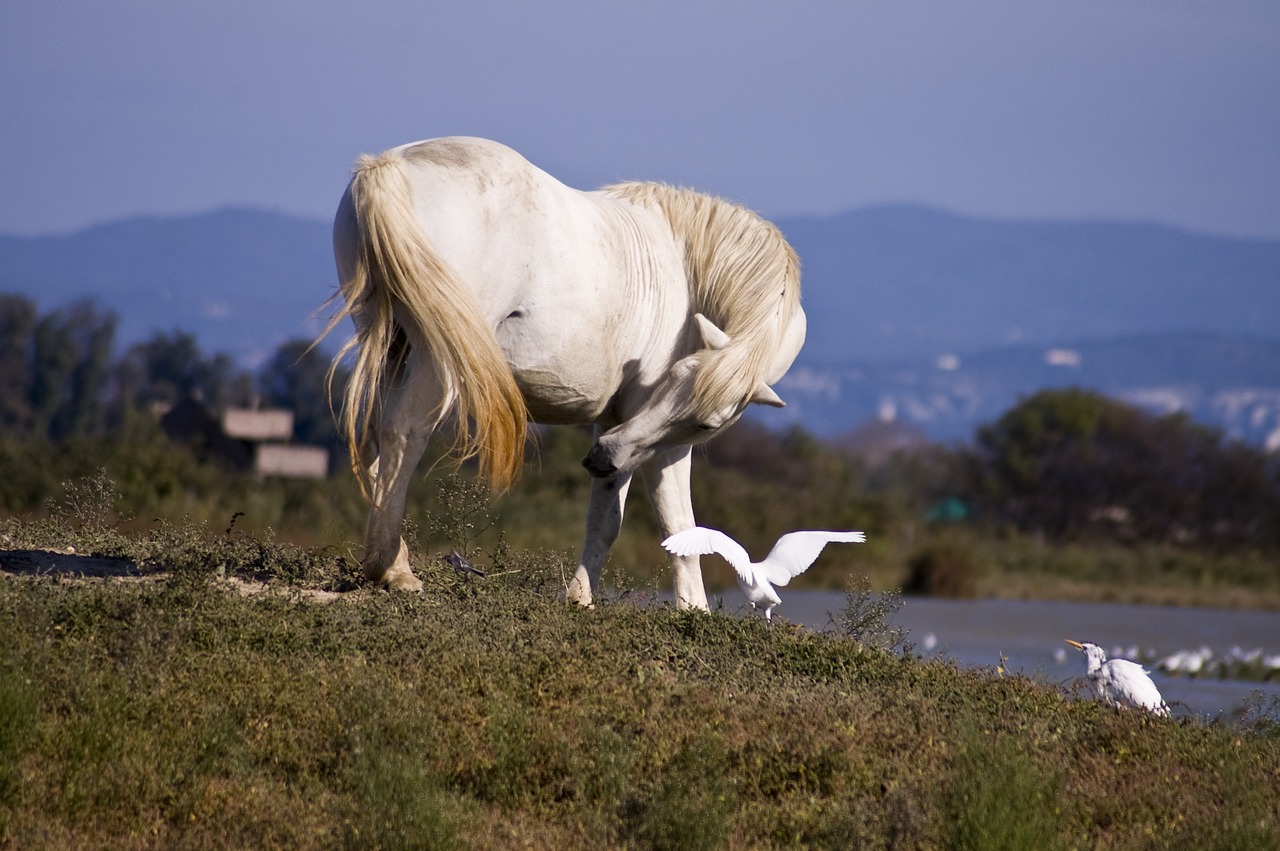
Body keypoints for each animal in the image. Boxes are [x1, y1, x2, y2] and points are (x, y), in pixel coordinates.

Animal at [325, 136, 803, 606]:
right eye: (675, 378)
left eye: (705, 421)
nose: (599, 458)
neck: (688, 269)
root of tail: (389, 166)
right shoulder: (653, 437)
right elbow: (676, 525)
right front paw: (693, 609)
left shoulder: (617, 426)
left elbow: (609, 521)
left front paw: (580, 598)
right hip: (435, 357)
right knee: (402, 434)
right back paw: (393, 570)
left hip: (388, 343)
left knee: (373, 441)